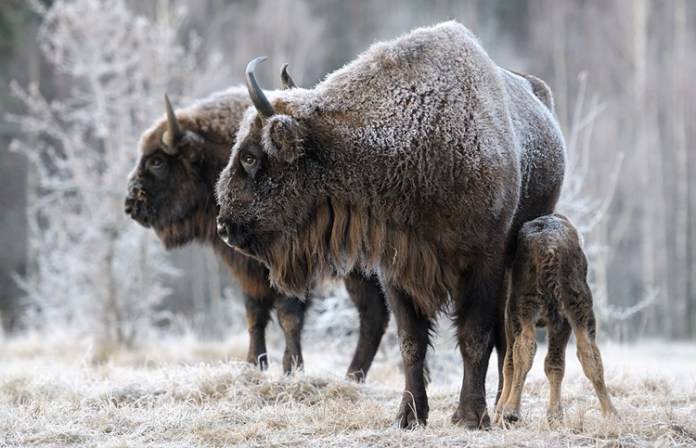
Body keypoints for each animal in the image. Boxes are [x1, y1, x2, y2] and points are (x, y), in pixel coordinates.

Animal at [123, 80, 388, 378]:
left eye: (157, 161)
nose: (130, 205)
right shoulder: (249, 272)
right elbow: (255, 314)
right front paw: (254, 364)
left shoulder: (287, 265)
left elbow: (288, 316)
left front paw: (291, 368)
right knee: (374, 313)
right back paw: (353, 377)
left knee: (373, 313)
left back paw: (352, 375)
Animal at [216, 21, 564, 430]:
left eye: (251, 156)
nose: (224, 225)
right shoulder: (397, 269)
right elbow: (411, 342)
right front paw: (409, 416)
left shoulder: (484, 263)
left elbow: (475, 336)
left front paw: (469, 417)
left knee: (506, 335)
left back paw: (501, 408)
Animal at [494, 214, 616, 424]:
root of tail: (550, 249)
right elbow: (555, 363)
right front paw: (555, 415)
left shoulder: (508, 316)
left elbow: (508, 363)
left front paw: (499, 411)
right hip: (576, 305)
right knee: (588, 352)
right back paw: (611, 414)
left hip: (523, 307)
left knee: (524, 349)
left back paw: (511, 411)